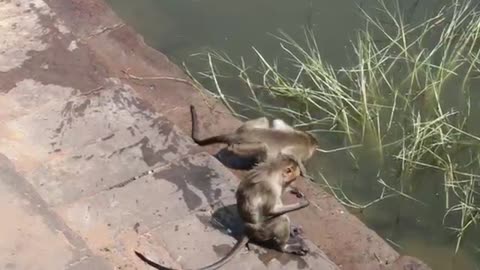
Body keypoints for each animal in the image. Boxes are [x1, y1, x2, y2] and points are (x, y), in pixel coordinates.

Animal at [133, 153, 310, 268]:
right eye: (294, 175)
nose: (294, 182)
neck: (274, 170)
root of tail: (248, 230)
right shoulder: (270, 188)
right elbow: (272, 210)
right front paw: (302, 203)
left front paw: (295, 192)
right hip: (263, 230)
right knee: (281, 219)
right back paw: (285, 246)